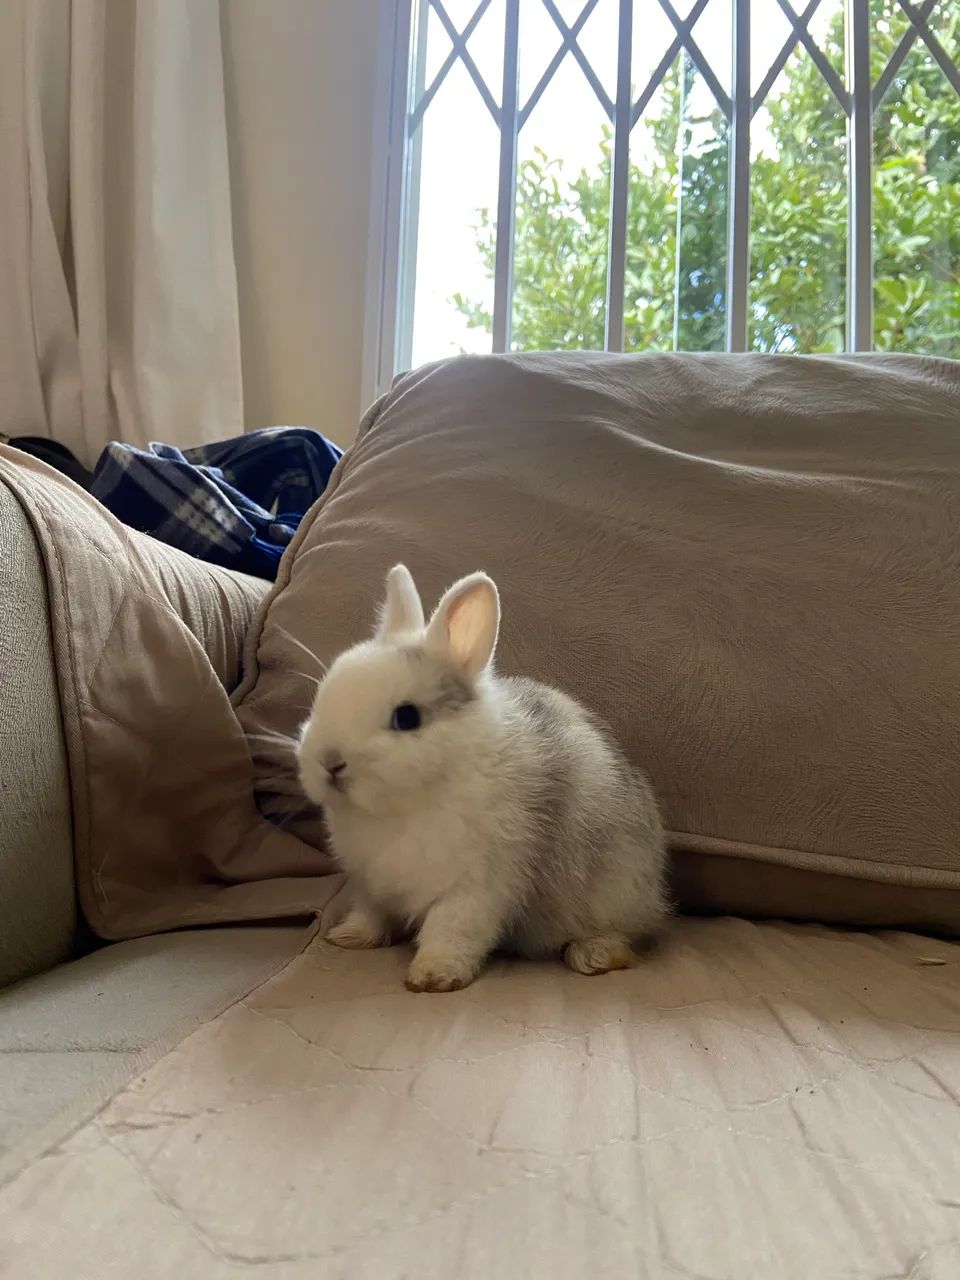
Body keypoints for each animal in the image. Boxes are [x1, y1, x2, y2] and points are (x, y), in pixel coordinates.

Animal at [297, 563, 668, 993]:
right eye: (324, 695)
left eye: (407, 717)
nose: (330, 762)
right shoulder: (370, 884)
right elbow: (371, 915)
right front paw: (348, 937)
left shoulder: (475, 887)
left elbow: (450, 930)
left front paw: (433, 976)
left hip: (616, 893)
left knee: (625, 933)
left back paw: (594, 955)